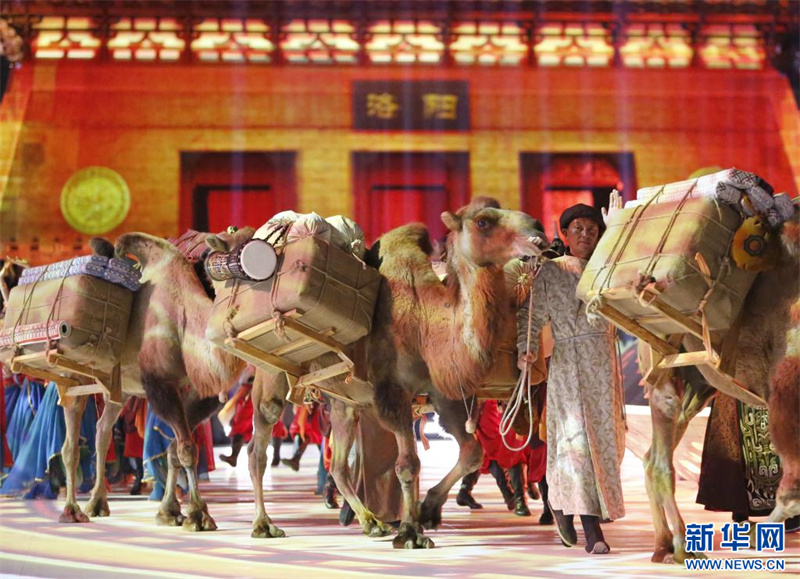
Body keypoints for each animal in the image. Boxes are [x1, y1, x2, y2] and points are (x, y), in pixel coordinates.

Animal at [57, 227, 254, 532]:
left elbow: (175, 449)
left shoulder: (198, 393)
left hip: (120, 389)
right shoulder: (160, 383)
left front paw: (170, 511)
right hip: (74, 375)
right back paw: (72, 509)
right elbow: (187, 448)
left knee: (102, 431)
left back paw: (98, 502)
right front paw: (199, 515)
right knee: (71, 440)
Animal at [243, 198, 548, 547]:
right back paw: (263, 524)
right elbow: (408, 464)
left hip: (344, 401)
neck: (425, 325)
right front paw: (410, 532)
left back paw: (371, 522)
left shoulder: (445, 396)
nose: (538, 228)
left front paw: (427, 510)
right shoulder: (391, 392)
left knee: (339, 463)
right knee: (258, 444)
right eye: (483, 221)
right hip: (270, 371)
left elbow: (472, 452)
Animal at [641, 207, 800, 563]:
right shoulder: (785, 390)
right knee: (659, 462)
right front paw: (755, 535)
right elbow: (792, 492)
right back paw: (678, 546)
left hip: (699, 386)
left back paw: (662, 543)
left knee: (649, 456)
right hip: (665, 377)